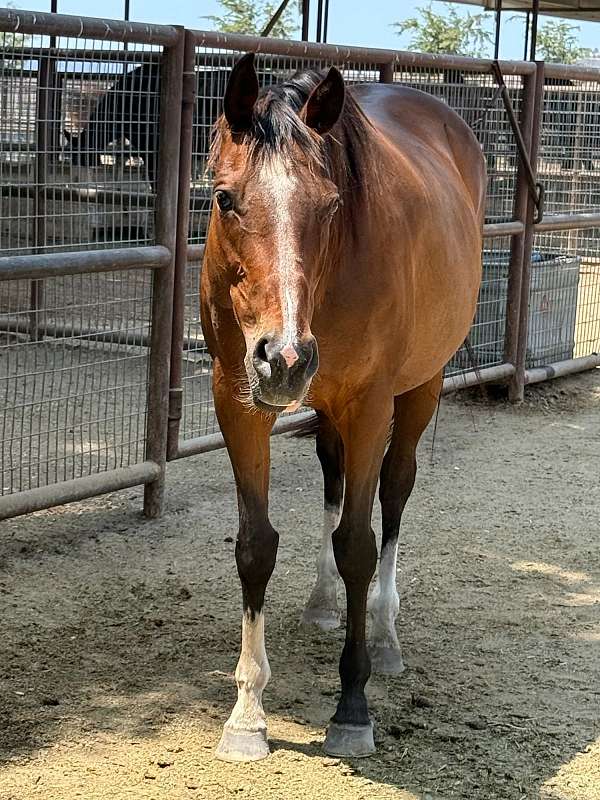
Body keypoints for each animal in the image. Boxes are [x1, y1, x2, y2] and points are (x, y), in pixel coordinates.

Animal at [200, 53, 486, 762]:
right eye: (224, 198)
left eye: (330, 205)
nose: (283, 357)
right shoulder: (237, 400)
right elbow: (256, 545)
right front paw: (247, 713)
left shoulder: (369, 406)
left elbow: (359, 542)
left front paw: (352, 707)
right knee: (332, 484)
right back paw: (325, 603)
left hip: (421, 387)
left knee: (394, 492)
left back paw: (382, 636)